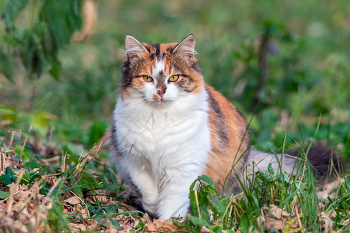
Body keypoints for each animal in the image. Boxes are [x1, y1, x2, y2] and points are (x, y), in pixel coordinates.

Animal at [108, 35, 340, 220]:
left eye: (174, 78)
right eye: (147, 78)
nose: (161, 91)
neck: (159, 118)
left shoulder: (182, 169)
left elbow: (172, 203)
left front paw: (166, 224)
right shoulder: (133, 161)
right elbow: (148, 190)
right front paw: (152, 209)